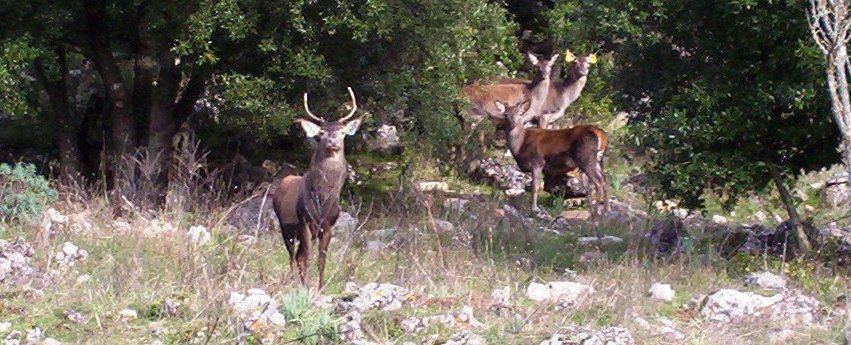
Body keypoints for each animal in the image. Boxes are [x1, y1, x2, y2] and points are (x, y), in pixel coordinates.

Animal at [272, 86, 362, 288]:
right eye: (321, 134)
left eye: (343, 132)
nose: (333, 142)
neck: (322, 198)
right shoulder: (304, 220)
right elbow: (308, 257)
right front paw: (306, 287)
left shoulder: (328, 225)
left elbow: (322, 259)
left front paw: (320, 287)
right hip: (285, 226)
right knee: (292, 256)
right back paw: (292, 281)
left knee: (297, 256)